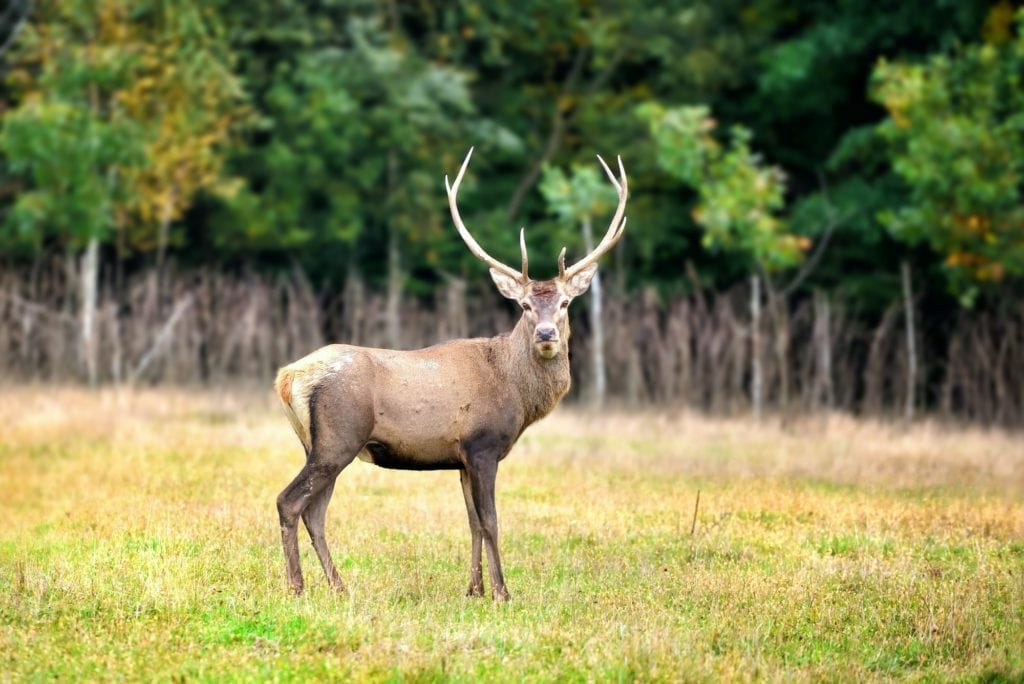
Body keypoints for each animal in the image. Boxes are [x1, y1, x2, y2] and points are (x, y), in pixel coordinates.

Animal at [274, 148, 622, 597]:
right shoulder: (482, 445)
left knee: (314, 511)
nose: (546, 334)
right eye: (525, 305)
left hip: (314, 443)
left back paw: (339, 587)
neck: (515, 393)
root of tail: (288, 376)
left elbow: (471, 522)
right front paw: (503, 592)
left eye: (564, 303)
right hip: (339, 436)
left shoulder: (460, 457)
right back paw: (297, 587)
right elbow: (491, 521)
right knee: (290, 501)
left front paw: (473, 589)